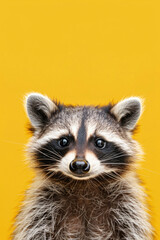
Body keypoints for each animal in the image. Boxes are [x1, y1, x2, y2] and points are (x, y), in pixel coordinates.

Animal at [12, 93, 152, 240]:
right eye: (63, 141)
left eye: (100, 142)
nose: (79, 164)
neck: (83, 184)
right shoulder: (41, 205)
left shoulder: (127, 205)